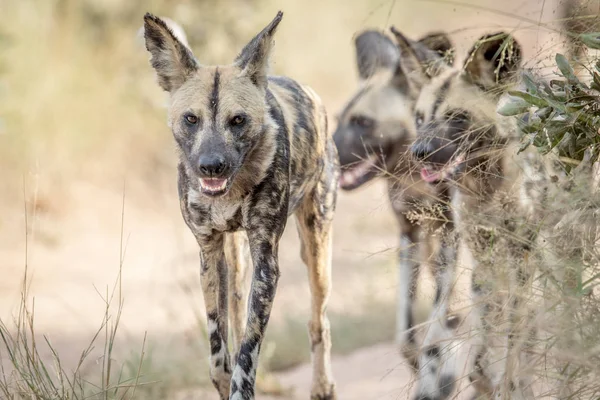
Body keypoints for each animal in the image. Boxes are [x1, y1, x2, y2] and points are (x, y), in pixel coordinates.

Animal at [142, 10, 338, 398]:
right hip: (235, 265)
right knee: (234, 317)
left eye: (238, 120)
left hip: (316, 252)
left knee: (318, 321)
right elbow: (220, 353)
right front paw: (223, 380)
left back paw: (322, 386)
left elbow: (248, 350)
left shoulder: (267, 262)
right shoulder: (209, 253)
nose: (211, 166)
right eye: (191, 119)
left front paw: (241, 385)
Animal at [330, 29, 458, 370]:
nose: (327, 154)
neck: (416, 178)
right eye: (338, 120)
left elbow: (433, 325)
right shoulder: (408, 235)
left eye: (362, 122)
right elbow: (404, 332)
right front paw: (416, 357)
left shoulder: (453, 234)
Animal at [394, 29, 540, 398]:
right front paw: (486, 378)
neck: (487, 183)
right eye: (420, 118)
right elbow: (485, 345)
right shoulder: (484, 257)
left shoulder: (523, 254)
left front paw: (507, 383)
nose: (419, 152)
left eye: (457, 118)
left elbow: (514, 333)